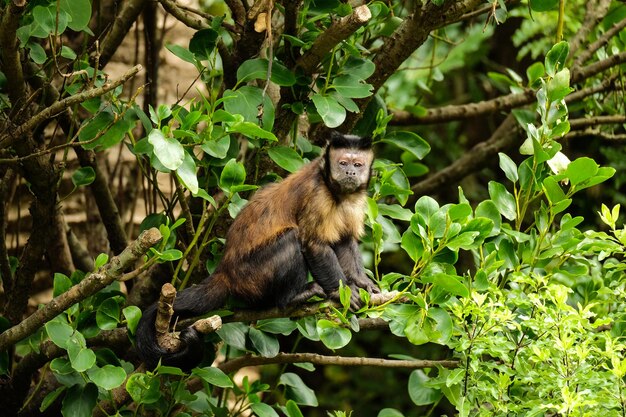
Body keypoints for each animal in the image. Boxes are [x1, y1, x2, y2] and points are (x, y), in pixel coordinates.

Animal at [135, 132, 376, 368]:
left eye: (358, 164)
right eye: (343, 162)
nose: (351, 172)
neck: (335, 191)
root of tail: (225, 272)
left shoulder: (354, 201)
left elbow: (345, 241)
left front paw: (361, 282)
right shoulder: (317, 195)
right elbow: (314, 243)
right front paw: (342, 289)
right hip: (251, 277)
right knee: (292, 237)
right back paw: (292, 297)